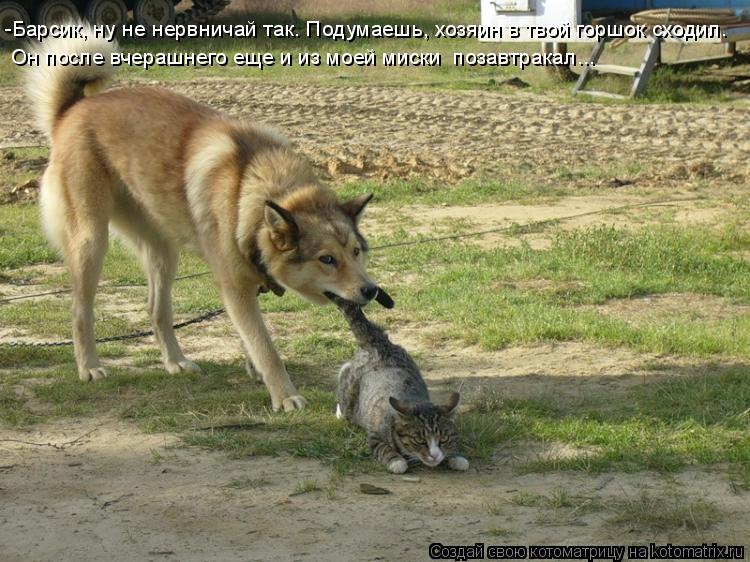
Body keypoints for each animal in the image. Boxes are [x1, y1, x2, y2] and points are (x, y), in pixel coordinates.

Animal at [27, 27, 382, 412]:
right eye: (327, 259)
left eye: (356, 252)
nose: (371, 290)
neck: (254, 187)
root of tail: (74, 108)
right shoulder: (235, 287)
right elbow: (265, 346)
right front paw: (284, 395)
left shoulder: (244, 285)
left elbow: (250, 338)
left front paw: (255, 370)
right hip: (92, 242)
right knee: (81, 310)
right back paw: (89, 366)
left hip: (163, 252)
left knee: (157, 310)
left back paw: (175, 362)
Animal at [332, 296, 468, 470]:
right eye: (420, 441)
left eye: (443, 439)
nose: (434, 455)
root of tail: (378, 344)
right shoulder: (375, 435)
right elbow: (384, 449)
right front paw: (397, 462)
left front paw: (457, 457)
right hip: (349, 393)